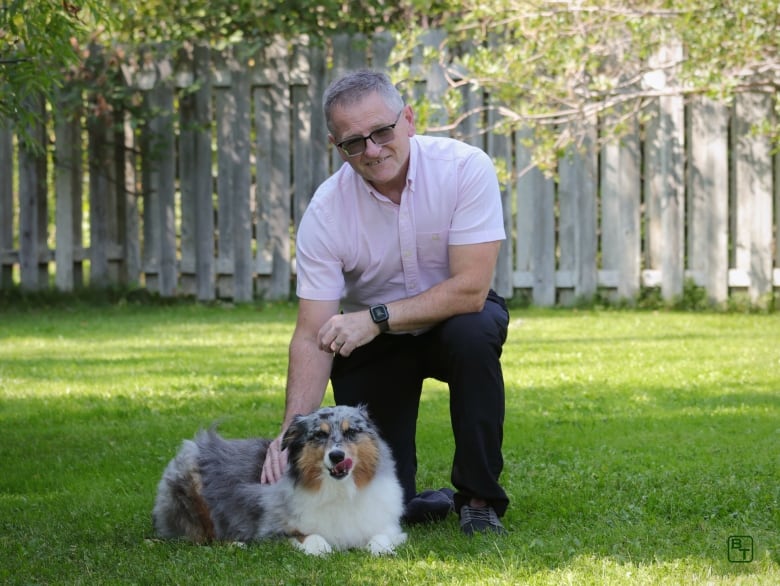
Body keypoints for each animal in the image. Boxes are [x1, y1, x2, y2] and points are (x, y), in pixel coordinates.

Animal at [152, 404, 408, 556]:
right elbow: (313, 539)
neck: (340, 490)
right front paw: (322, 547)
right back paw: (235, 543)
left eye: (351, 432)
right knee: (200, 538)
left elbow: (381, 537)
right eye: (320, 434)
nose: (337, 456)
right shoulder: (270, 530)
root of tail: (196, 444)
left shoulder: (385, 524)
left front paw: (380, 549)